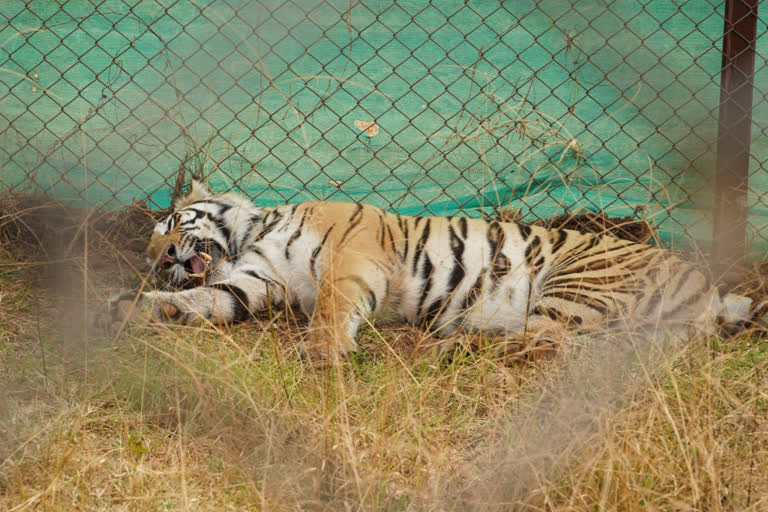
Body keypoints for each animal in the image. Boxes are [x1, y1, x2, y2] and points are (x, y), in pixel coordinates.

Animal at [108, 180, 768, 360]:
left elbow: (331, 308)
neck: (249, 237)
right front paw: (136, 308)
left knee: (547, 337)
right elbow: (209, 300)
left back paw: (454, 341)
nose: (163, 259)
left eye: (171, 222)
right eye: (154, 248)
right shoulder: (257, 282)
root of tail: (713, 290)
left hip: (575, 281)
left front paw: (323, 351)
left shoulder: (351, 254)